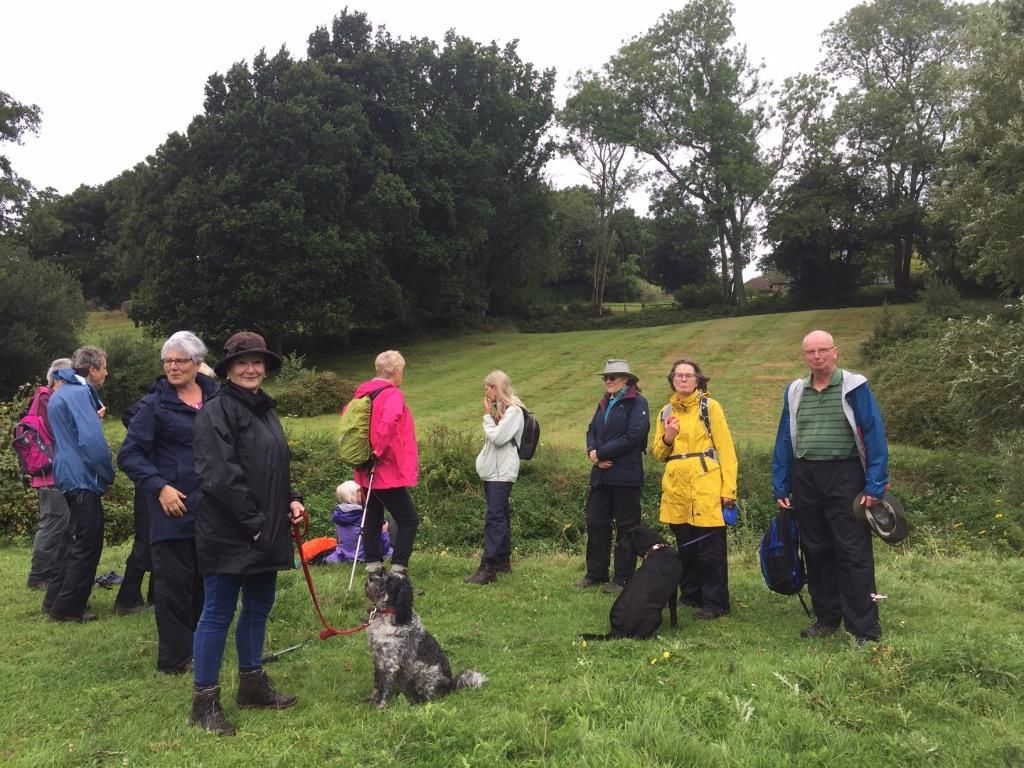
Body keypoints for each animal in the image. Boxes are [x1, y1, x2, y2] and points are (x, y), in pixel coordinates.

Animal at [362, 573, 485, 708]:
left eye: (389, 582)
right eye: (383, 574)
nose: (370, 578)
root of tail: (450, 685)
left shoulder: (388, 662)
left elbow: (383, 685)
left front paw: (379, 704)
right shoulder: (378, 659)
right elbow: (376, 684)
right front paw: (372, 699)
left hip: (425, 674)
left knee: (430, 697)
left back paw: (414, 701)